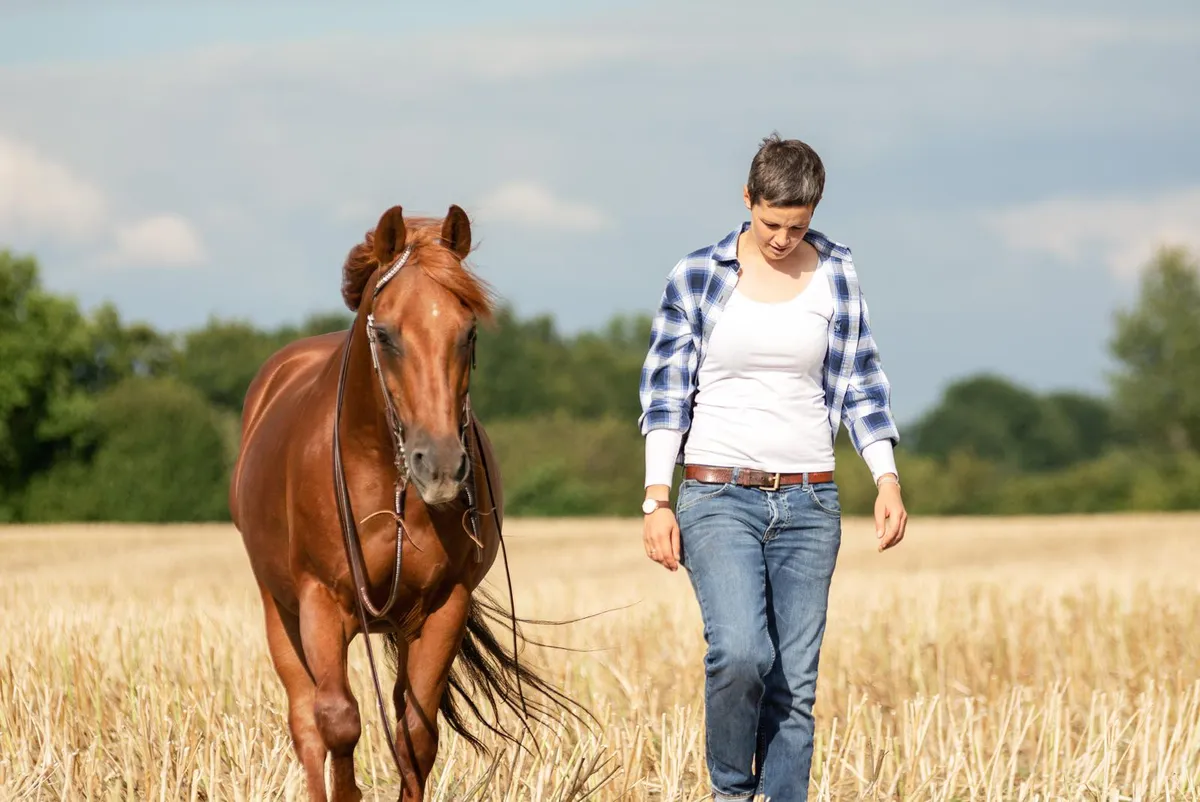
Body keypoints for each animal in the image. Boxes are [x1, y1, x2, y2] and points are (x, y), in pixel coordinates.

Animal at [229, 204, 575, 801]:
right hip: (281, 611)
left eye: (468, 332)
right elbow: (338, 721)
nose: (440, 467)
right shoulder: (321, 602)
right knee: (306, 722)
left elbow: (416, 735)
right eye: (387, 335)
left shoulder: (444, 606)